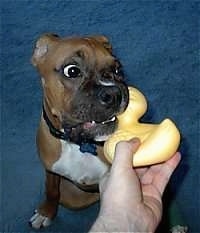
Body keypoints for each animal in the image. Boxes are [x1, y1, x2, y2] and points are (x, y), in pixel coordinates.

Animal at [28, 33, 129, 228]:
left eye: (117, 69)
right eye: (72, 71)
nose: (113, 93)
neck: (77, 144)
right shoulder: (51, 172)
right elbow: (51, 190)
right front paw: (46, 212)